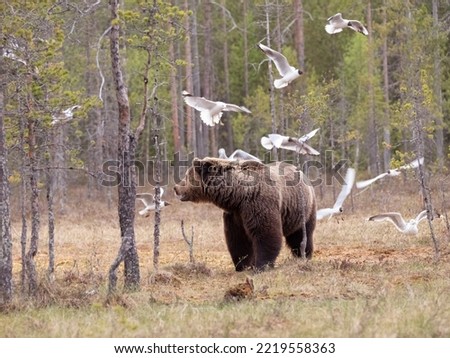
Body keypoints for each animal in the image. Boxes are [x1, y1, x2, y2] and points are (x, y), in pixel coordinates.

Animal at [172, 157, 316, 272]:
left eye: (186, 176)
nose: (175, 188)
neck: (239, 195)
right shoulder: (235, 214)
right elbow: (238, 239)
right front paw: (242, 265)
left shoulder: (258, 204)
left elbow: (265, 234)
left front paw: (261, 265)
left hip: (303, 209)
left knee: (300, 234)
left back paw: (303, 255)